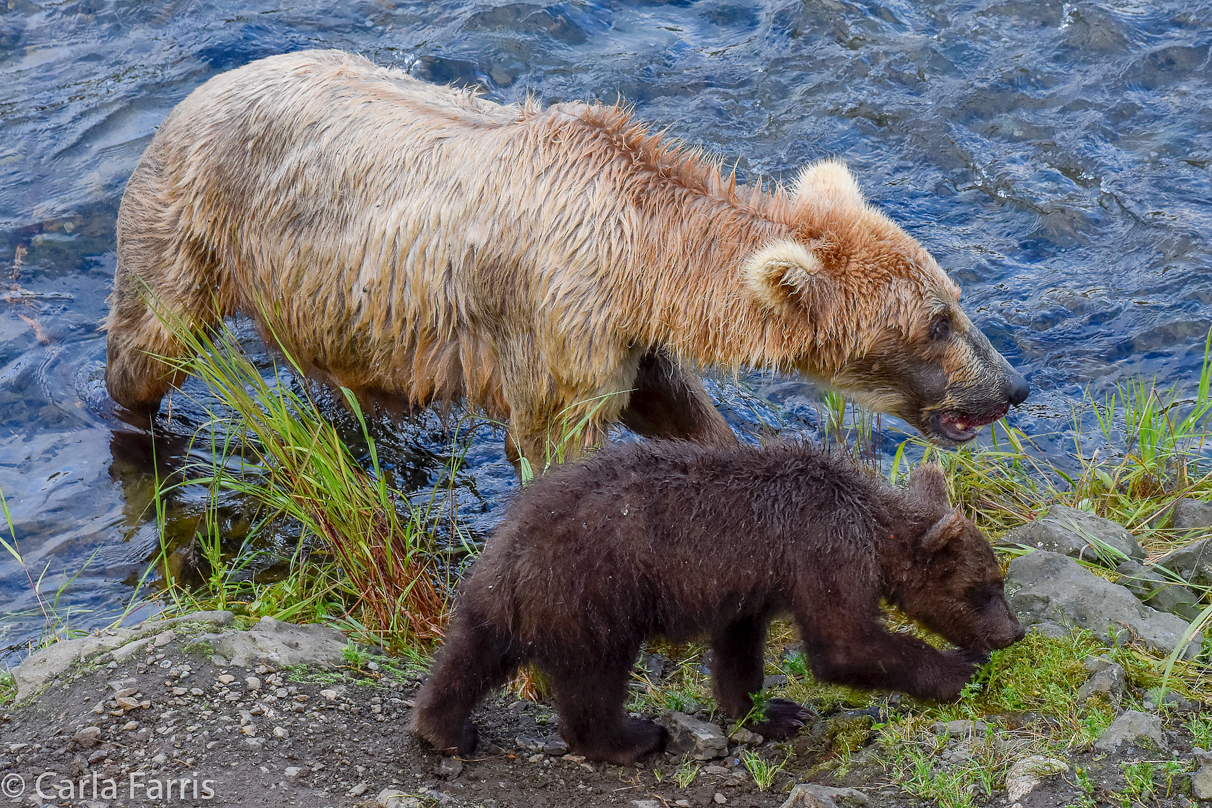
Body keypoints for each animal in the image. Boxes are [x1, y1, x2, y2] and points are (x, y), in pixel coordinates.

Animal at [109, 50, 1027, 465]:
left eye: (956, 298)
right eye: (935, 323)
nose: (1014, 386)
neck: (644, 255)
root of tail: (198, 91)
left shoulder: (629, 339)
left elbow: (683, 415)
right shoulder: (556, 321)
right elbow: (554, 448)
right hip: (189, 226)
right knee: (147, 347)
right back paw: (140, 435)